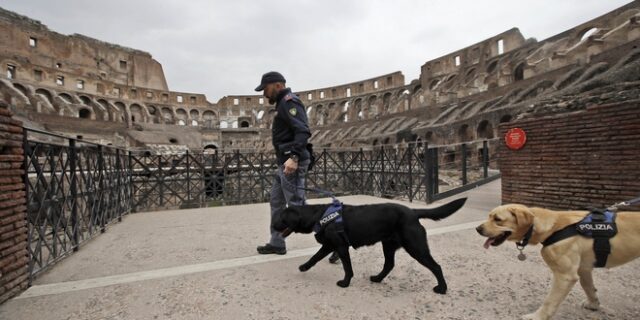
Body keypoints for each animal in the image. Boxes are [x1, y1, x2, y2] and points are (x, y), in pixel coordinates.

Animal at [272, 199, 464, 294]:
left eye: (282, 218)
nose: (273, 226)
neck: (317, 215)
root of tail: (413, 212)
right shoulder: (329, 245)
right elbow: (315, 257)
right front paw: (304, 267)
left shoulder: (341, 246)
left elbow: (347, 267)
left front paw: (345, 283)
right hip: (388, 245)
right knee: (389, 264)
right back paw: (377, 278)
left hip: (415, 246)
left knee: (436, 266)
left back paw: (442, 289)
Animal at [476, 205, 640, 320]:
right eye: (490, 216)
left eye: (497, 219)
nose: (477, 228)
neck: (552, 227)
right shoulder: (584, 269)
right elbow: (589, 288)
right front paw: (594, 305)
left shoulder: (565, 276)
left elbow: (549, 301)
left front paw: (537, 317)